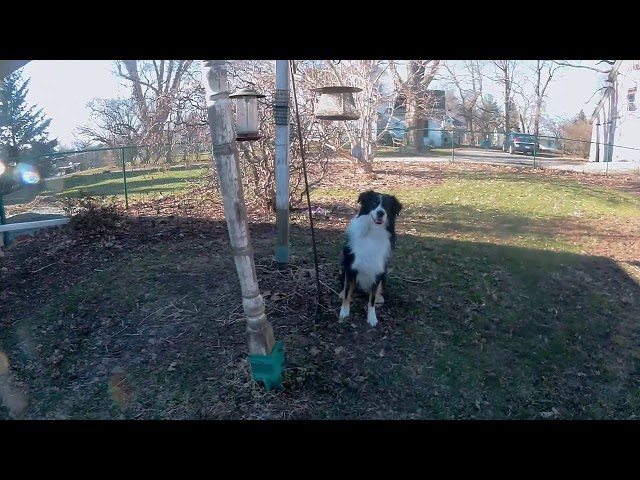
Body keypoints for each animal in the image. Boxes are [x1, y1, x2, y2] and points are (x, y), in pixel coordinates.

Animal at [338, 189, 402, 328]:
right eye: (374, 202)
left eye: (387, 206)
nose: (380, 212)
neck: (373, 232)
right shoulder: (351, 267)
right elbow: (347, 292)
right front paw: (344, 312)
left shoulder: (377, 271)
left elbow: (371, 300)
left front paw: (372, 318)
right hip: (343, 268)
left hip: (384, 274)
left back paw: (379, 297)